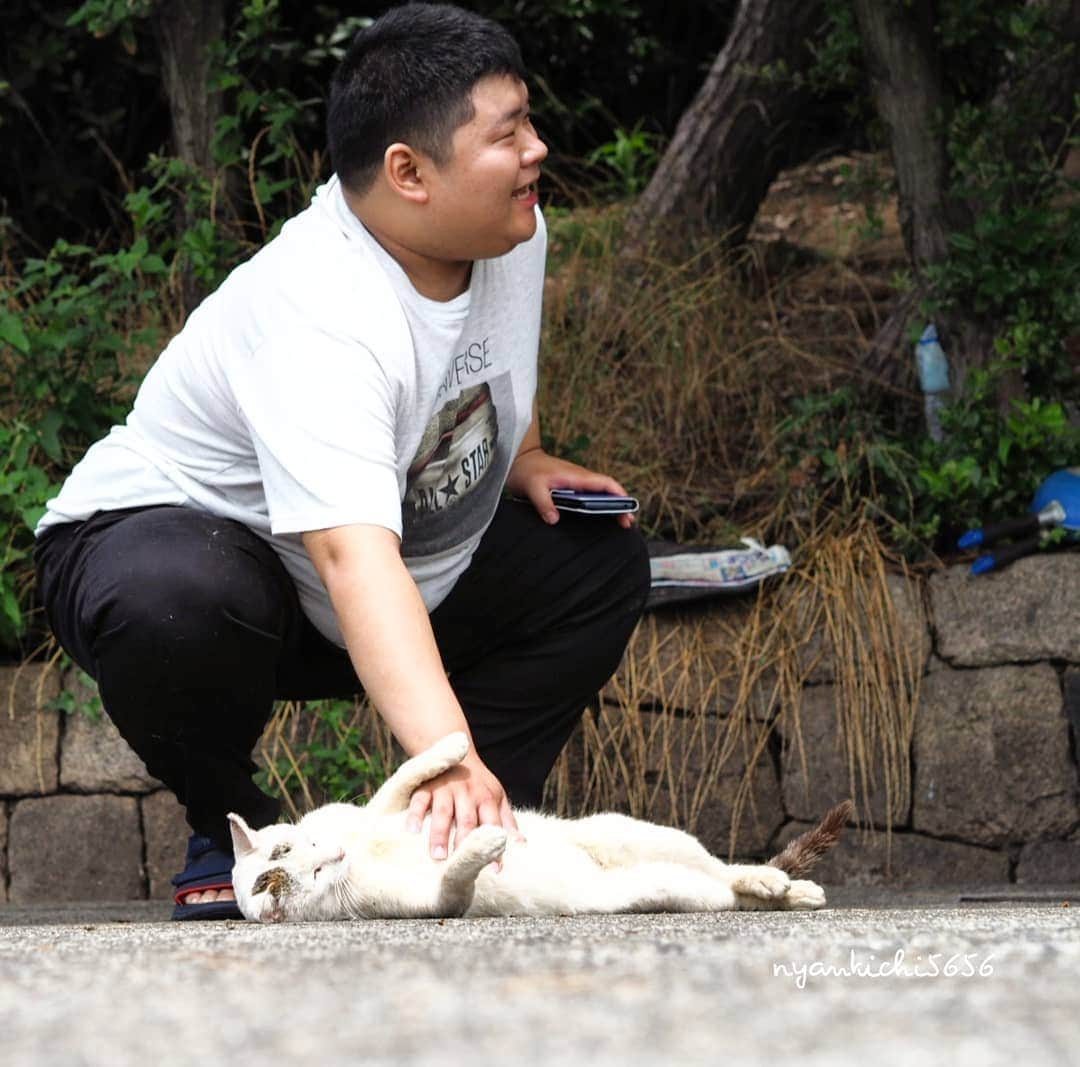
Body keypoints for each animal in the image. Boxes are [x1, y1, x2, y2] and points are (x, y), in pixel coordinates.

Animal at [227, 730, 851, 920]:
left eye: (307, 844)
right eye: (312, 876)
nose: (334, 856)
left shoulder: (377, 810)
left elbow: (407, 775)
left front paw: (454, 746)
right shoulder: (437, 904)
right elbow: (455, 877)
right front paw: (482, 841)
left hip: (629, 831)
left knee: (725, 867)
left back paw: (783, 884)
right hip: (666, 888)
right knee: (723, 891)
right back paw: (784, 890)